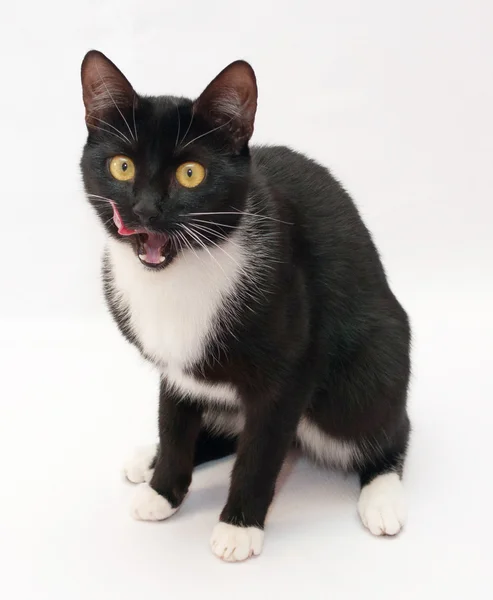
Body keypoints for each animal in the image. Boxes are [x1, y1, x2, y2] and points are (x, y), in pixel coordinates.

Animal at [80, 51, 410, 564]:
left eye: (190, 174)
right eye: (121, 167)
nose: (147, 210)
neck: (178, 276)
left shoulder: (290, 371)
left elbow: (260, 454)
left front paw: (239, 526)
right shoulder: (175, 367)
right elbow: (174, 424)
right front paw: (163, 489)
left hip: (366, 368)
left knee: (384, 426)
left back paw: (382, 495)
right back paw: (148, 458)